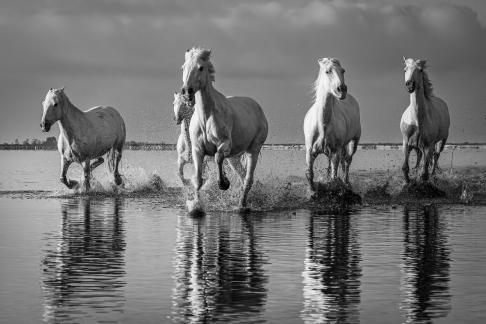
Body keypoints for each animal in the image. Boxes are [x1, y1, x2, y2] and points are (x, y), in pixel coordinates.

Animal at [180, 47, 268, 210]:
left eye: (201, 68)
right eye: (183, 67)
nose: (187, 91)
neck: (206, 118)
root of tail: (257, 107)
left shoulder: (225, 144)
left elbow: (218, 157)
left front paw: (224, 183)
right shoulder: (197, 149)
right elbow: (198, 179)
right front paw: (196, 206)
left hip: (254, 149)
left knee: (248, 179)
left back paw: (241, 205)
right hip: (235, 156)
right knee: (242, 176)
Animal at [304, 57, 360, 196]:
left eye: (343, 70)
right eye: (327, 71)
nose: (342, 90)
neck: (322, 125)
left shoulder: (336, 151)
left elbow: (334, 178)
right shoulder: (310, 152)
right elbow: (310, 174)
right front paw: (312, 192)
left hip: (354, 141)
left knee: (347, 161)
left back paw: (347, 183)